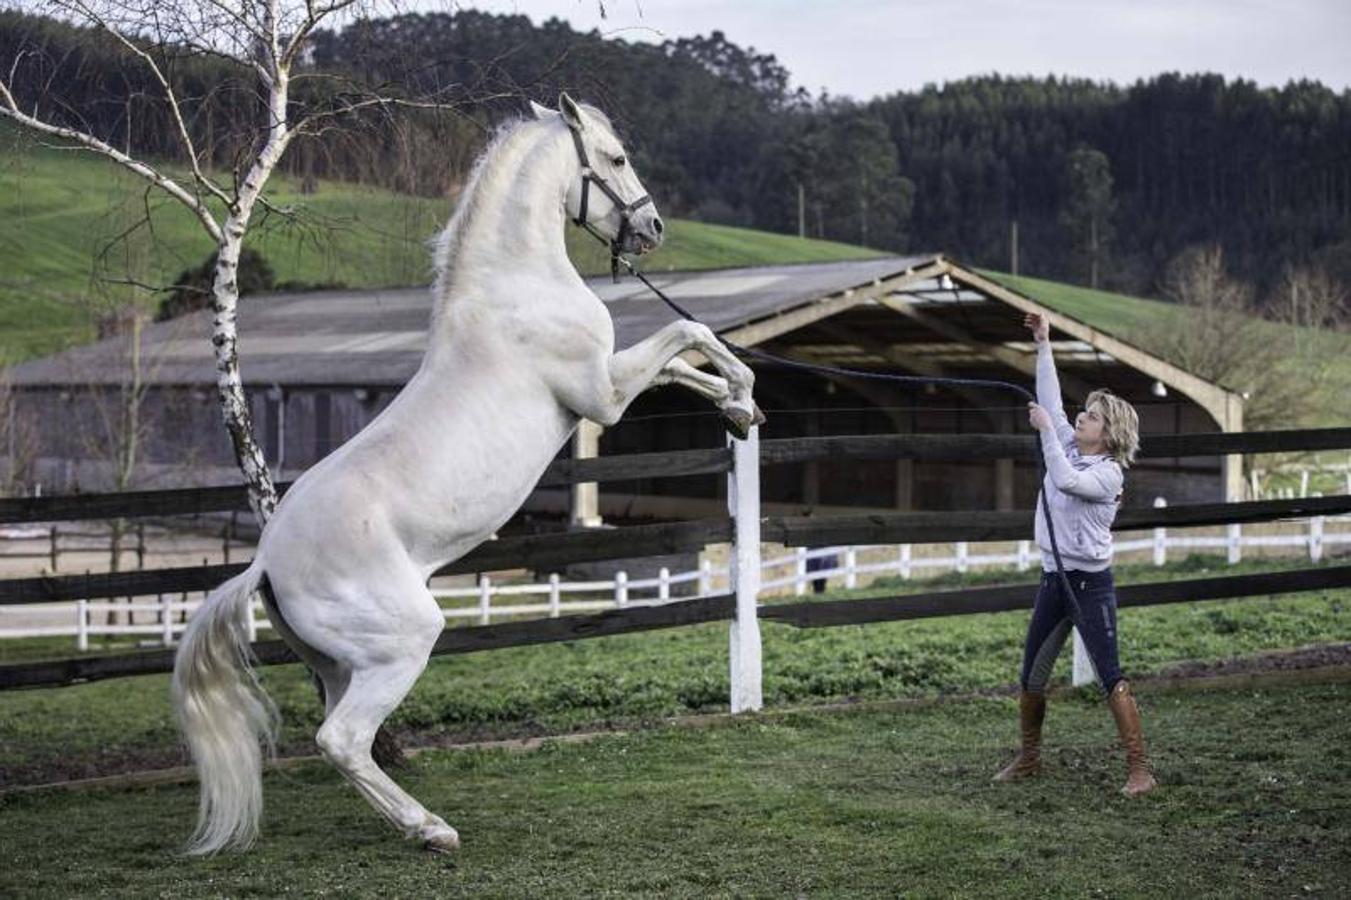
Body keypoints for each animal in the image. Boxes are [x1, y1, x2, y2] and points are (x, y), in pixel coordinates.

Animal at [172, 94, 761, 854]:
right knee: (341, 740)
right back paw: (431, 830)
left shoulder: (608, 385)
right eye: (616, 157)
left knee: (341, 739)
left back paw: (414, 824)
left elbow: (684, 363)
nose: (652, 227)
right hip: (402, 644)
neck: (517, 285)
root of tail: (266, 562)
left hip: (340, 665)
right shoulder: (601, 393)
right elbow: (690, 336)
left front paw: (739, 411)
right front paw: (744, 395)